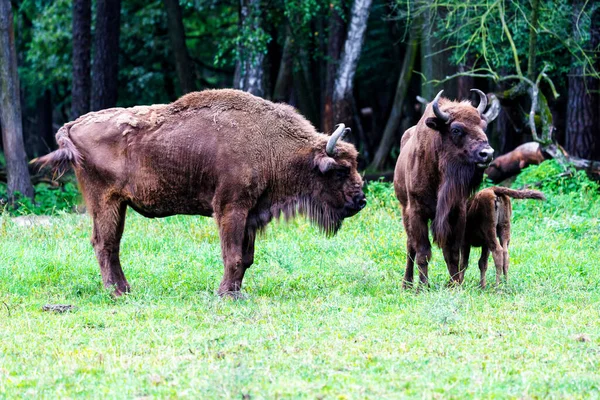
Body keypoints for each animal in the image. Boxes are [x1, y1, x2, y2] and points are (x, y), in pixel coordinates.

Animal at [36, 90, 370, 296]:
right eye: (341, 170)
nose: (361, 200)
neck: (273, 145)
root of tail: (73, 124)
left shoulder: (250, 214)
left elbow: (246, 258)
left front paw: (234, 291)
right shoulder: (230, 208)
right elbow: (232, 255)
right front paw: (225, 294)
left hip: (118, 205)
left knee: (110, 245)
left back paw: (125, 289)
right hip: (106, 202)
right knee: (104, 244)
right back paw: (117, 292)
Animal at [392, 89, 494, 286]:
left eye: (483, 126)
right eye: (456, 129)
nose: (487, 154)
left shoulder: (456, 212)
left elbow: (452, 252)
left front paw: (455, 284)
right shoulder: (417, 212)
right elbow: (423, 252)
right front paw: (423, 287)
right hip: (404, 209)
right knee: (410, 247)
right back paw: (407, 284)